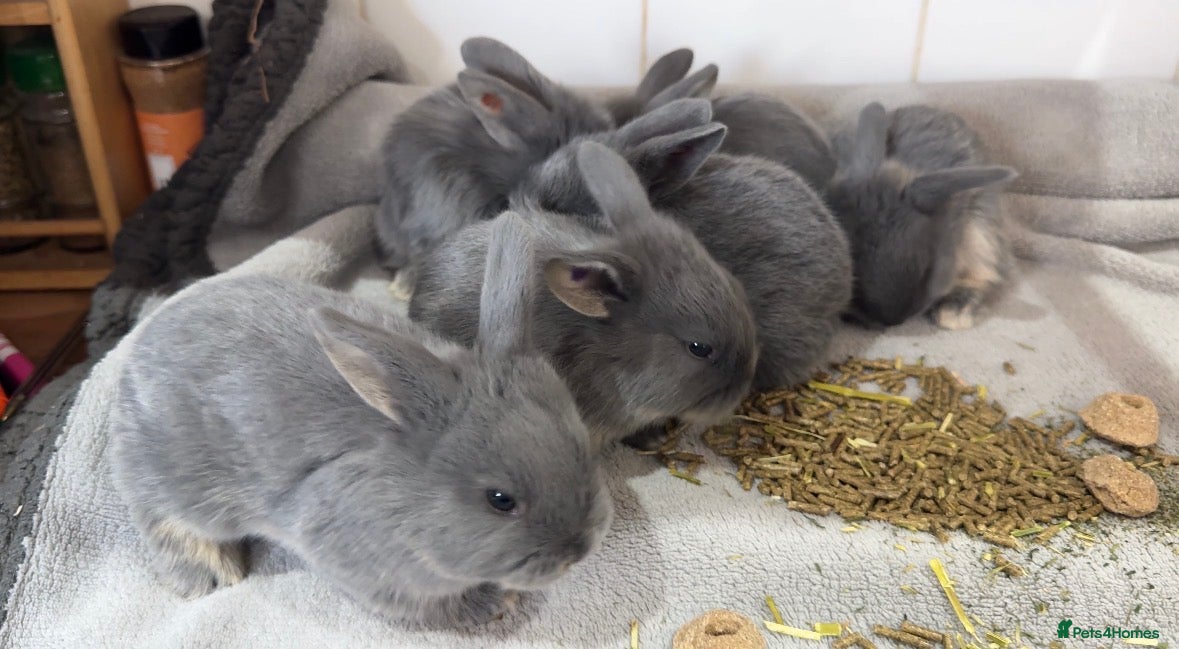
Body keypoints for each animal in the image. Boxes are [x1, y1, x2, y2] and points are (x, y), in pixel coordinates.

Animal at [108, 213, 613, 630]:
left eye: (582, 450)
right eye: (500, 500)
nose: (576, 552)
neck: (407, 499)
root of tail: (148, 335)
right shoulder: (380, 574)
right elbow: (433, 606)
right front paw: (493, 604)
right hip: (168, 482)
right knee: (164, 522)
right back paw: (213, 576)